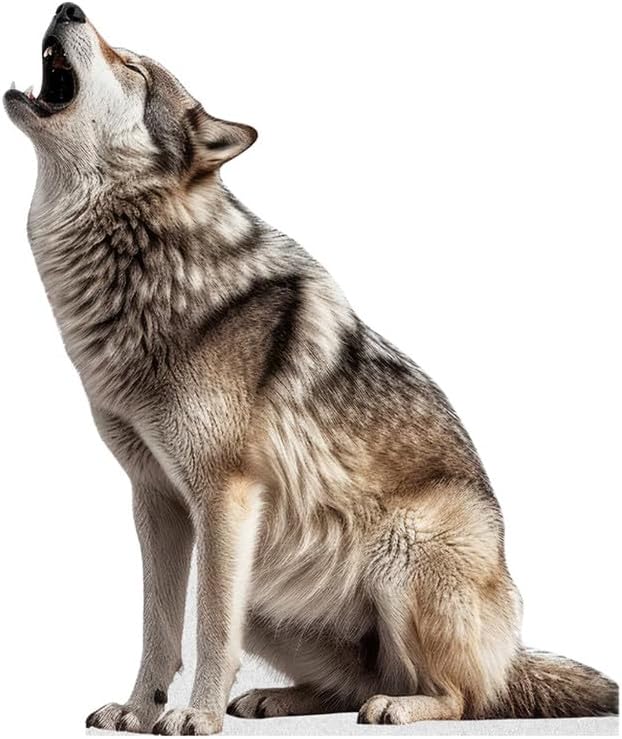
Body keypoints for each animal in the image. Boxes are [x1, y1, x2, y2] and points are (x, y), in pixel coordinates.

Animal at [4, 3, 617, 735]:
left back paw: (399, 705)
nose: (69, 8)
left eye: (134, 68)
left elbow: (208, 627)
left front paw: (195, 715)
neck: (145, 263)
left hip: (396, 557)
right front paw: (137, 707)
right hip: (271, 585)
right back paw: (278, 699)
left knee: (459, 695)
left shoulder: (225, 495)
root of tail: (511, 650)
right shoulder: (156, 498)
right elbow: (157, 625)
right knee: (353, 683)